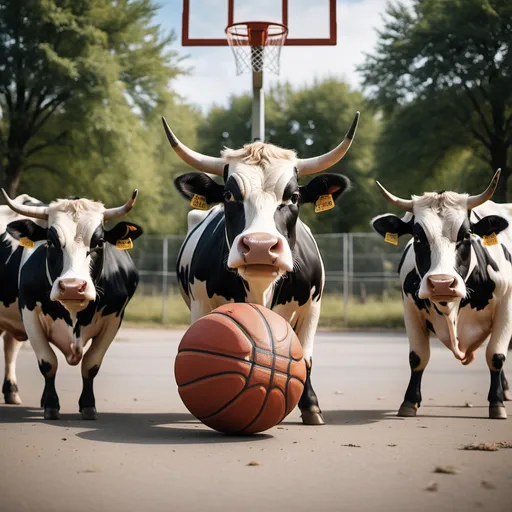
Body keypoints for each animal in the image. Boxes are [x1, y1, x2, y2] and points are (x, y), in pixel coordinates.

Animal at [2, 190, 143, 418]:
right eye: (50, 241)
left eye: (99, 241)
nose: (71, 286)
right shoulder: (29, 314)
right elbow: (48, 363)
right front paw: (51, 405)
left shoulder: (114, 319)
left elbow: (91, 364)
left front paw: (88, 405)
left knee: (10, 345)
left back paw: (12, 392)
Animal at [162, 114, 358, 426]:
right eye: (229, 194)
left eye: (293, 197)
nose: (259, 246)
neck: (260, 288)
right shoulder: (201, 304)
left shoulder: (312, 308)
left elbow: (305, 357)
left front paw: (311, 407)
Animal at [370, 172, 512, 420]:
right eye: (418, 237)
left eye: (466, 235)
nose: (442, 283)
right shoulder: (410, 309)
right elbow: (418, 356)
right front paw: (410, 402)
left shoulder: (506, 306)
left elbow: (496, 355)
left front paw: (496, 403)